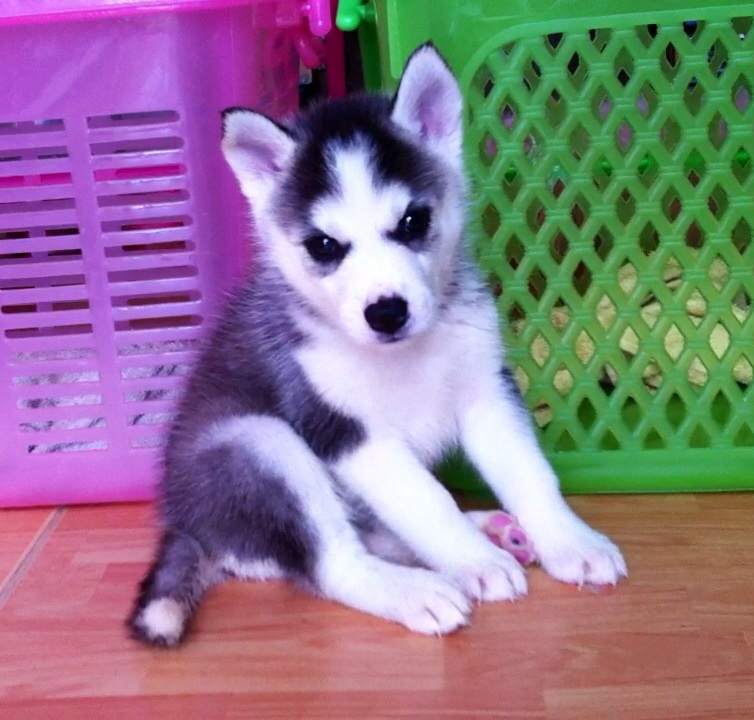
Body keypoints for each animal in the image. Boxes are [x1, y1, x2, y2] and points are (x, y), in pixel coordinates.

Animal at [127, 43, 627, 647]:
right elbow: (427, 501)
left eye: (413, 221)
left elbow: (530, 474)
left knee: (371, 533)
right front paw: (475, 562)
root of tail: (185, 522)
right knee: (335, 561)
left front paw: (570, 542)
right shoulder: (346, 432)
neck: (404, 356)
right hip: (256, 441)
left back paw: (493, 529)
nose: (386, 311)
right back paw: (420, 588)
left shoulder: (487, 392)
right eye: (323, 245)